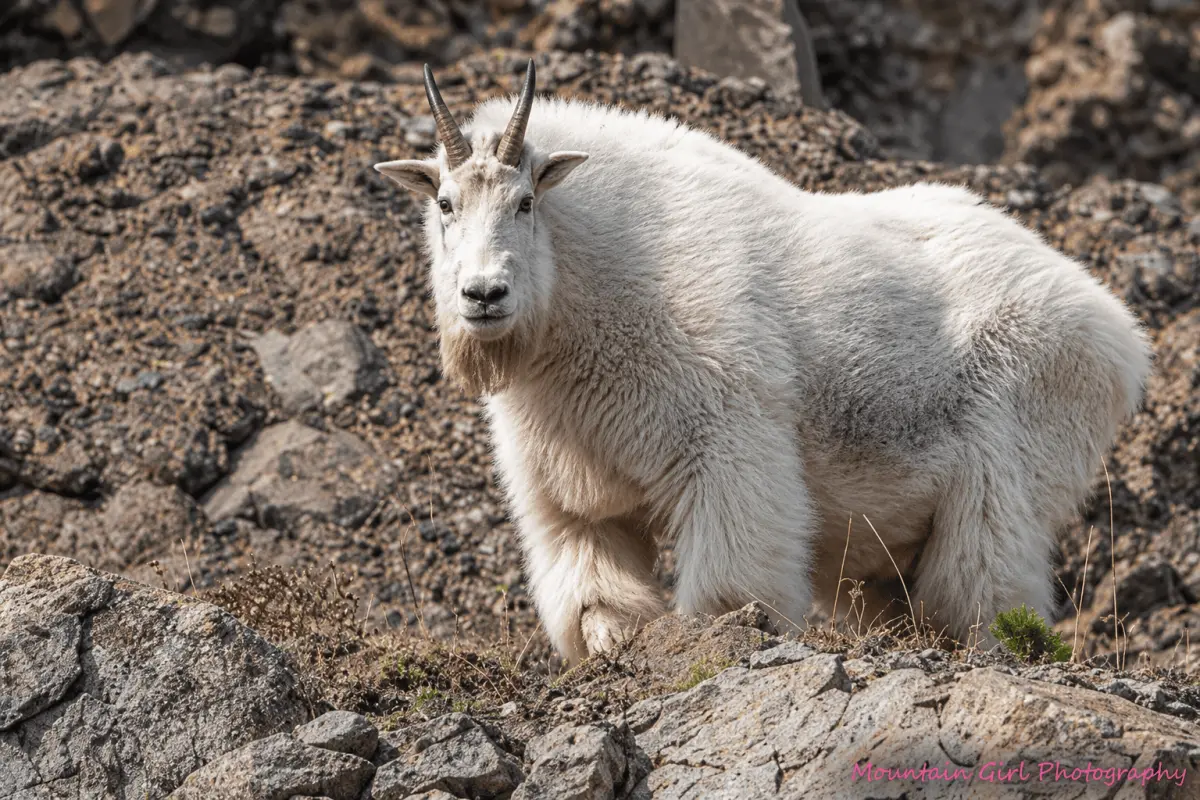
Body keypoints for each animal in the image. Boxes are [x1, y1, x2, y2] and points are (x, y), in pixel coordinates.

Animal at [375, 60, 1152, 665]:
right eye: (444, 203)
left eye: (526, 201)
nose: (484, 295)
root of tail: (1120, 334)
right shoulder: (573, 484)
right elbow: (596, 592)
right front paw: (612, 647)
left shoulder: (727, 430)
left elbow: (731, 579)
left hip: (1014, 462)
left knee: (985, 585)